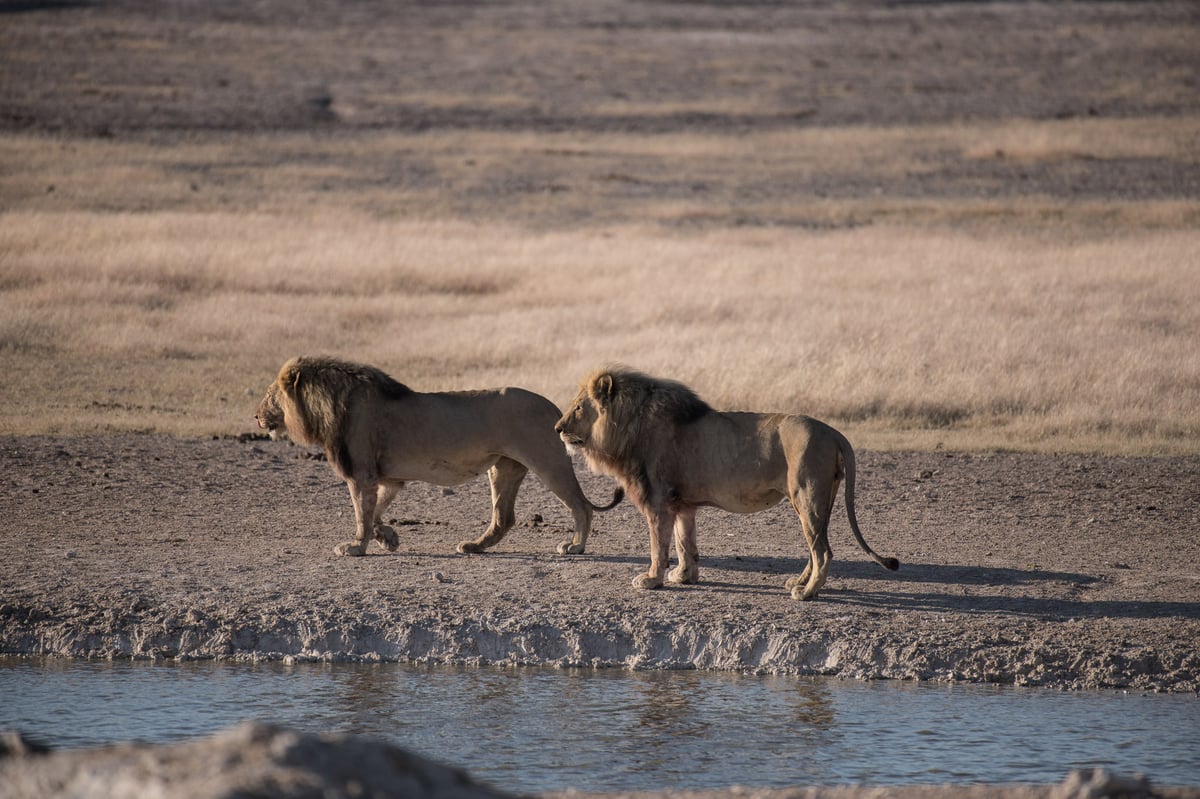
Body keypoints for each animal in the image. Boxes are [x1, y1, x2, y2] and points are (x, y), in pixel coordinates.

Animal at [256, 357, 624, 556]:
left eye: (270, 395)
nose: (257, 417)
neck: (327, 406)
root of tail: (554, 407)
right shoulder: (386, 477)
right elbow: (375, 510)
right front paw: (387, 538)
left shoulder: (360, 472)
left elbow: (362, 513)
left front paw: (356, 547)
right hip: (503, 468)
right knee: (503, 518)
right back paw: (474, 546)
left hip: (547, 460)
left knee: (580, 505)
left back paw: (575, 547)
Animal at [556, 367, 897, 597]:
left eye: (578, 407)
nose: (557, 428)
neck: (628, 427)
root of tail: (834, 432)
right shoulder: (682, 504)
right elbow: (684, 542)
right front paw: (684, 575)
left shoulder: (657, 501)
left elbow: (658, 546)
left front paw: (652, 579)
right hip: (816, 501)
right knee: (817, 549)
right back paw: (799, 582)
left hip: (808, 496)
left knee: (823, 551)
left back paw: (806, 592)